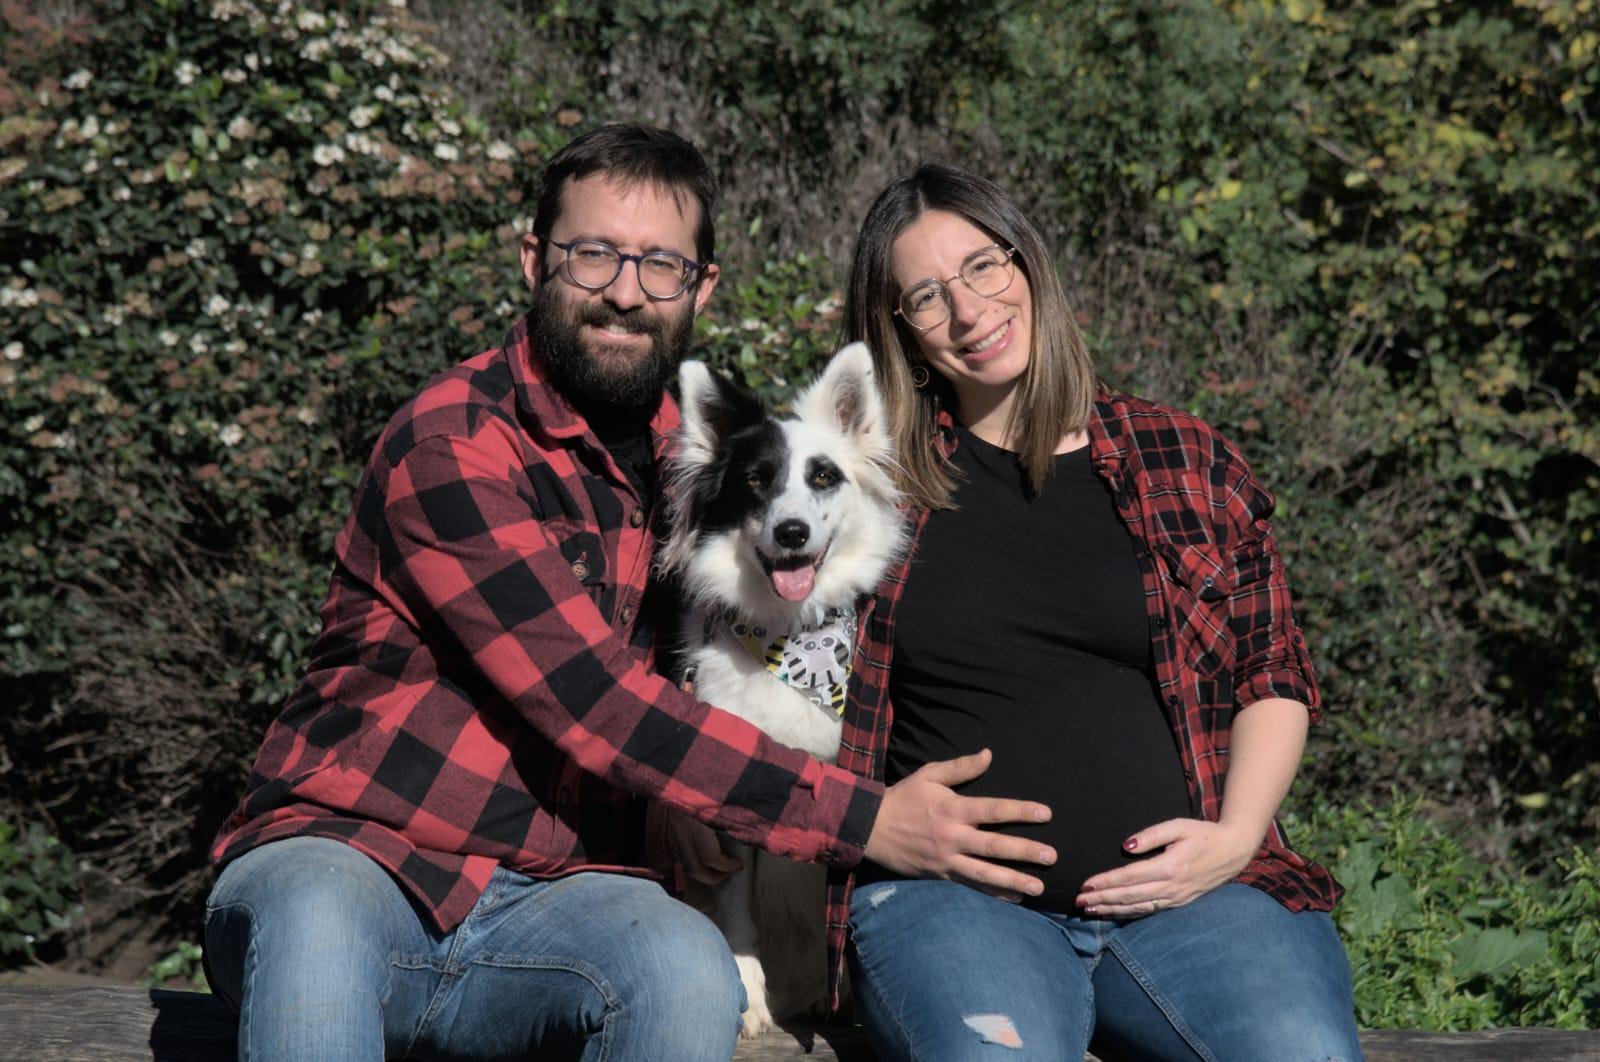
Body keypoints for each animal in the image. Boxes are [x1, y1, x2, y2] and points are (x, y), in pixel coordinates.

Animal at [659, 341, 905, 1037]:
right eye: (755, 480)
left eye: (824, 477)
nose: (792, 532)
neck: (793, 640)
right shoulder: (733, 791)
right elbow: (737, 911)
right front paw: (749, 994)